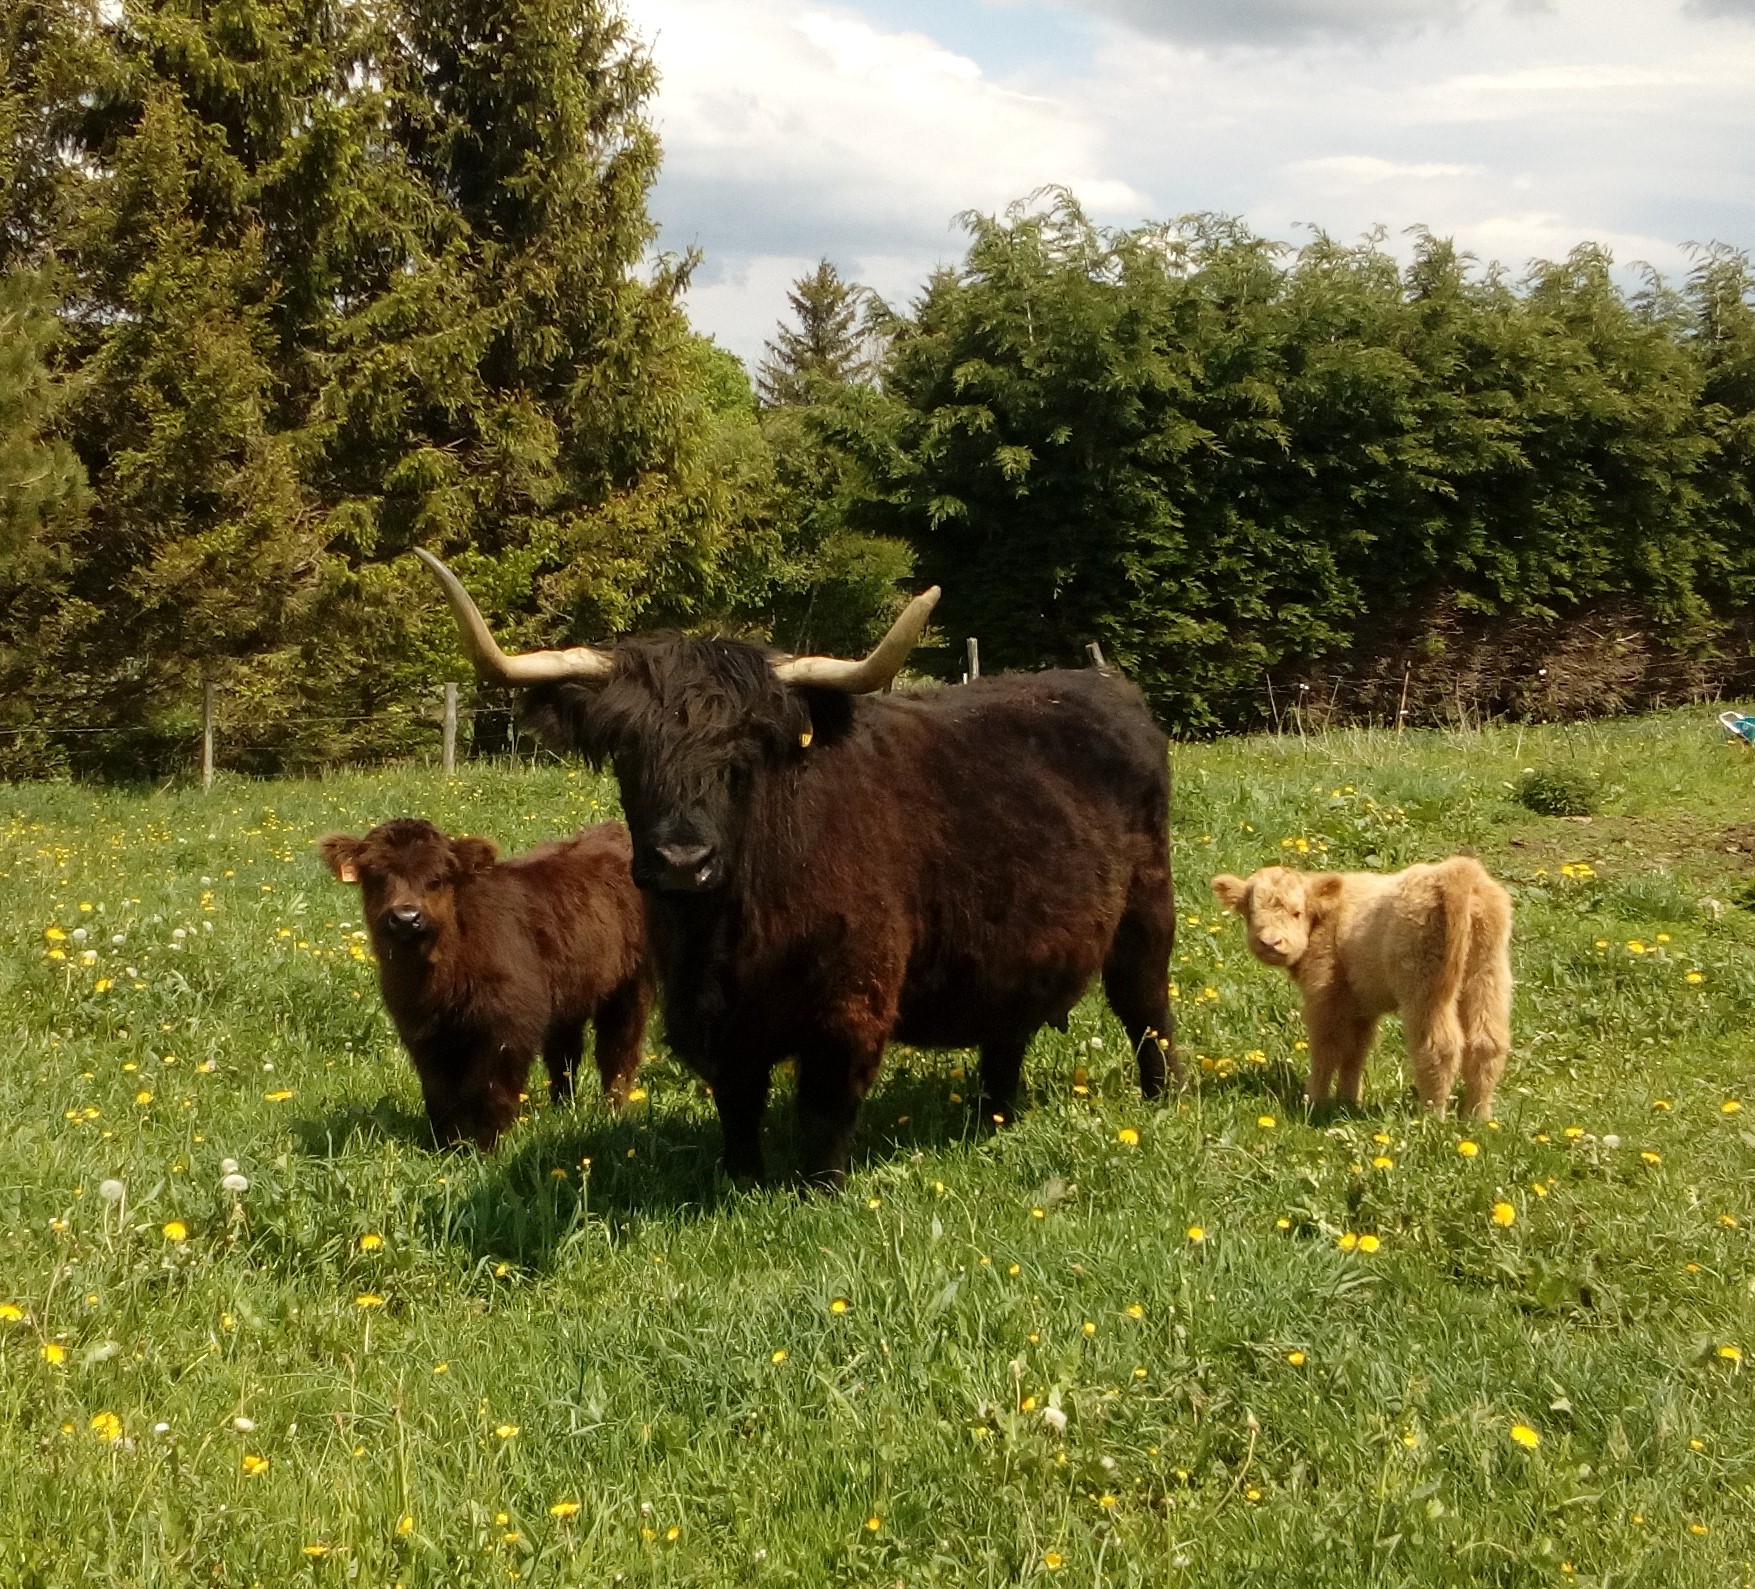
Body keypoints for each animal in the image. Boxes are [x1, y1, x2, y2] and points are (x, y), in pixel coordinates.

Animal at [317, 818, 652, 1137]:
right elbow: (440, 1093)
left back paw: (613, 1109)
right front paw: (449, 1143)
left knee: (618, 1051)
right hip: (570, 992)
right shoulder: (421, 1033)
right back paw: (562, 1108)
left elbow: (488, 1091)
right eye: (376, 876)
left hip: (630, 987)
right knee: (564, 1054)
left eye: (438, 878)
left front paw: (485, 1145)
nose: (405, 918)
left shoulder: (507, 1027)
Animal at [1214, 856, 1516, 1116]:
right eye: (1251, 913)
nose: (1270, 943)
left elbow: (1326, 1048)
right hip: (1488, 975)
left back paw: (1432, 1117)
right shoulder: (1361, 1006)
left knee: (1440, 1045)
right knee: (1487, 1043)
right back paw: (1477, 1118)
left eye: (1297, 912)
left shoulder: (1324, 994)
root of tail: (1457, 870)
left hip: (1425, 986)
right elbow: (1355, 1052)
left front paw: (1314, 1101)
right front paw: (1348, 1101)